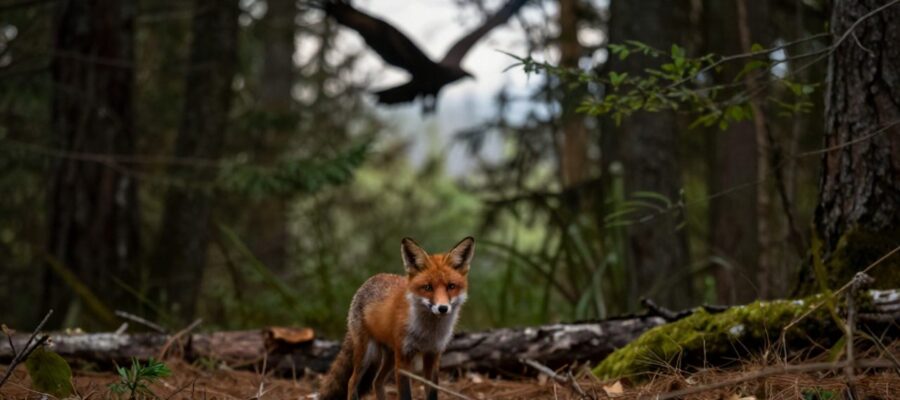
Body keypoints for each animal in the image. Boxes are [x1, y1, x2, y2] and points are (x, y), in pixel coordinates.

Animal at [319, 236, 475, 400]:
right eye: (428, 287)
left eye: (451, 286)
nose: (442, 308)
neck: (428, 332)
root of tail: (372, 278)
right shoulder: (404, 357)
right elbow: (405, 394)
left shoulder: (433, 355)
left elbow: (432, 393)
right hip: (368, 355)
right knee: (352, 382)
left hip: (389, 356)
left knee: (377, 381)